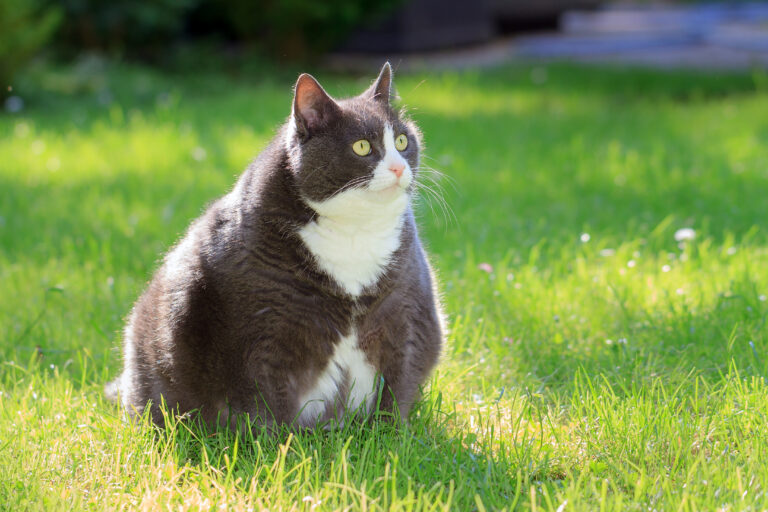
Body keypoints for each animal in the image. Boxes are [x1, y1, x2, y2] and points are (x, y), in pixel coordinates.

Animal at [106, 64, 444, 430]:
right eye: (362, 147)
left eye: (402, 140)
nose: (398, 167)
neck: (354, 231)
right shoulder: (261, 329)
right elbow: (266, 399)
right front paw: (282, 445)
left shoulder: (405, 310)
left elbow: (400, 382)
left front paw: (393, 434)